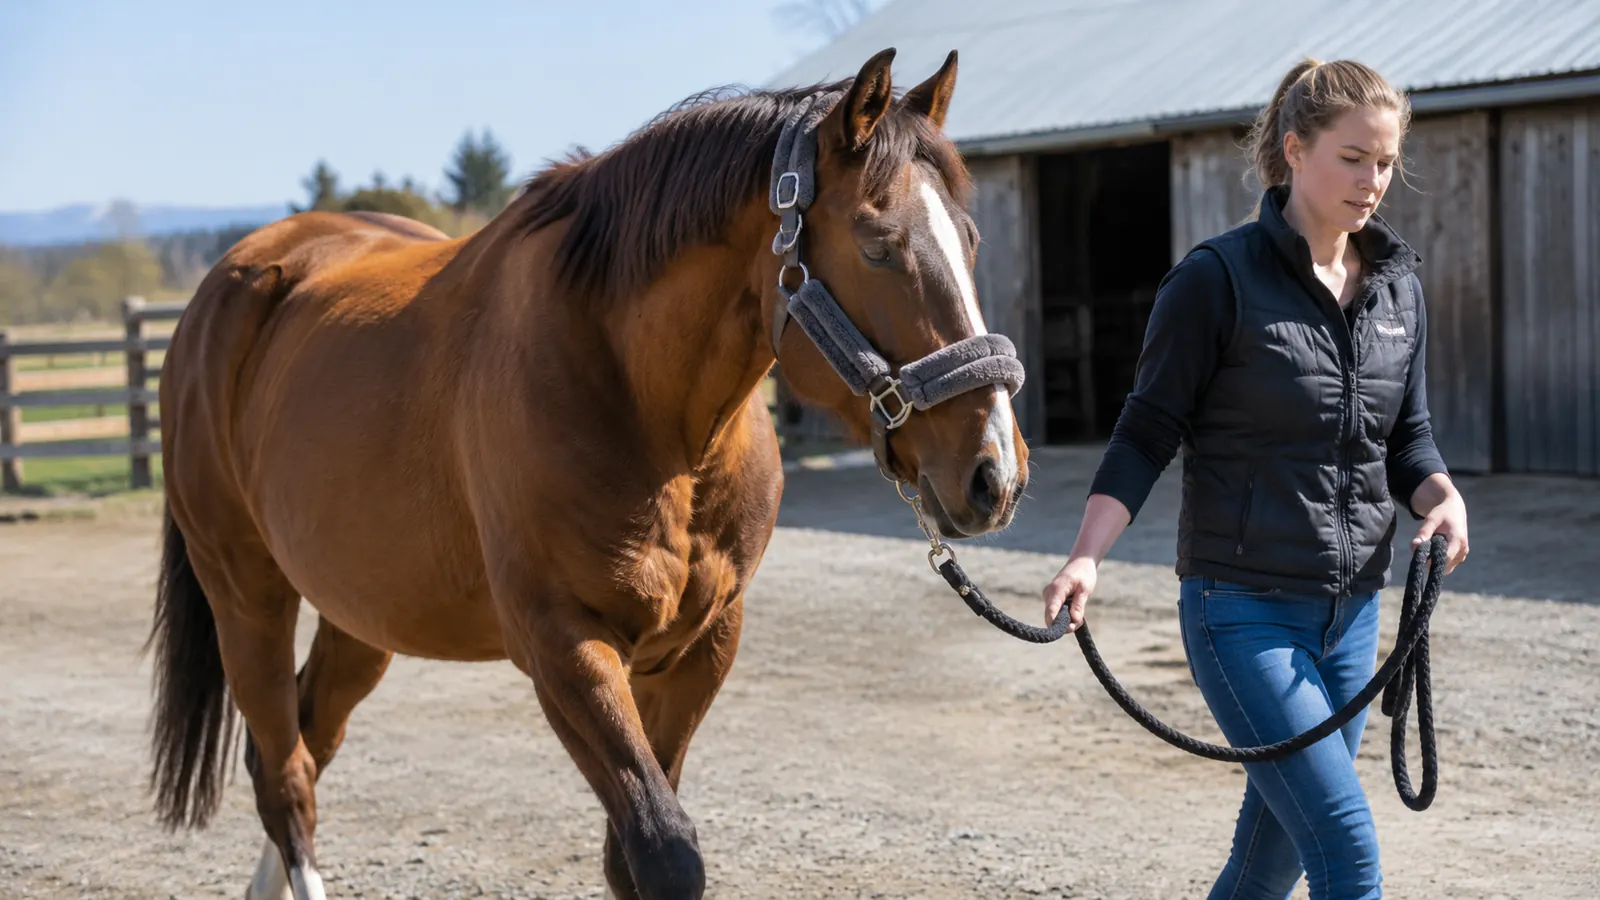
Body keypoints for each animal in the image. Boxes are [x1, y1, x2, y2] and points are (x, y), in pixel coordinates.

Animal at [146, 46, 1029, 900]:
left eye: (971, 239)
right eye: (877, 245)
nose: (995, 473)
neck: (650, 413)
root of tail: (232, 285)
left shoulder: (703, 646)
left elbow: (627, 857)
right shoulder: (563, 645)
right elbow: (665, 853)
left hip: (363, 611)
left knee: (307, 738)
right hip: (246, 593)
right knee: (285, 774)